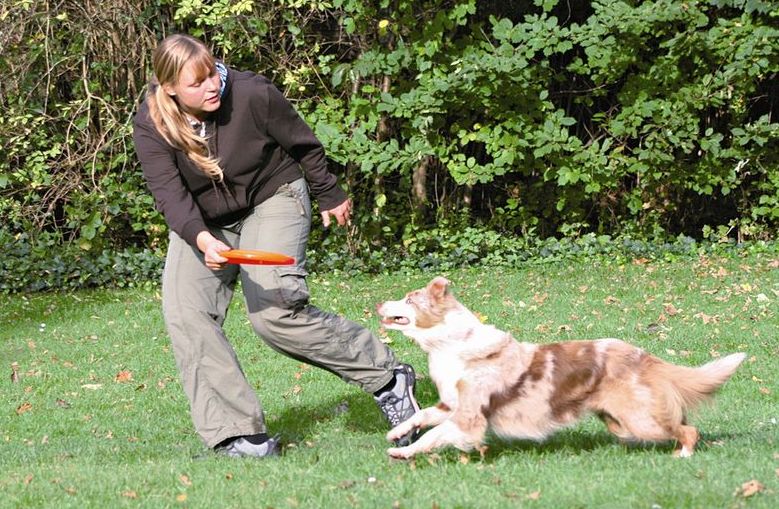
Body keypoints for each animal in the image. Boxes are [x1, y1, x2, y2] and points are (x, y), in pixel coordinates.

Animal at [380, 276, 748, 458]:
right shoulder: (451, 404)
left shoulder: (469, 419)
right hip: (621, 423)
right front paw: (397, 432)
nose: (379, 302)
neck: (450, 344)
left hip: (640, 420)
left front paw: (404, 452)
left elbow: (435, 435)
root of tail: (643, 355)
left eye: (410, 299)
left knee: (688, 430)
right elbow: (423, 415)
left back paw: (683, 455)